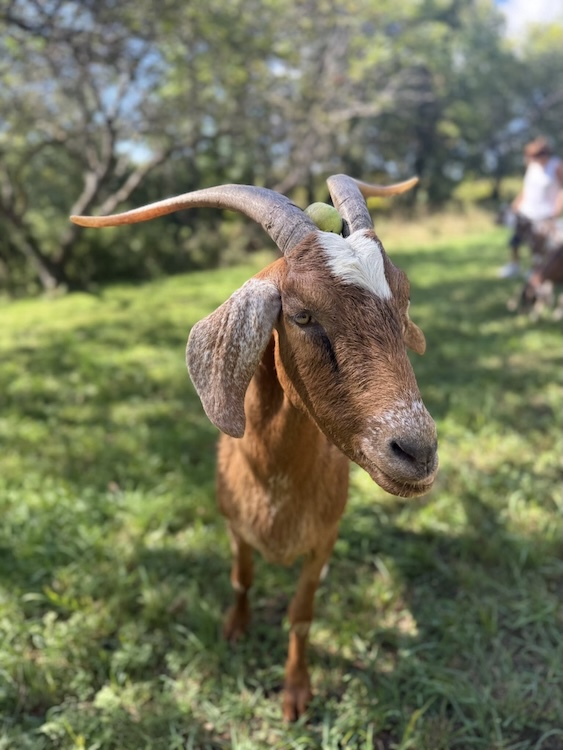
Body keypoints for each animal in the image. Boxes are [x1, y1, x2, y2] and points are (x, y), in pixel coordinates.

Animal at [70, 175, 438, 721]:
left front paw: (296, 692)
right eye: (302, 315)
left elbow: (302, 613)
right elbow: (242, 578)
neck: (274, 483)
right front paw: (234, 629)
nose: (416, 451)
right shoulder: (234, 526)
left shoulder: (323, 540)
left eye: (405, 297)